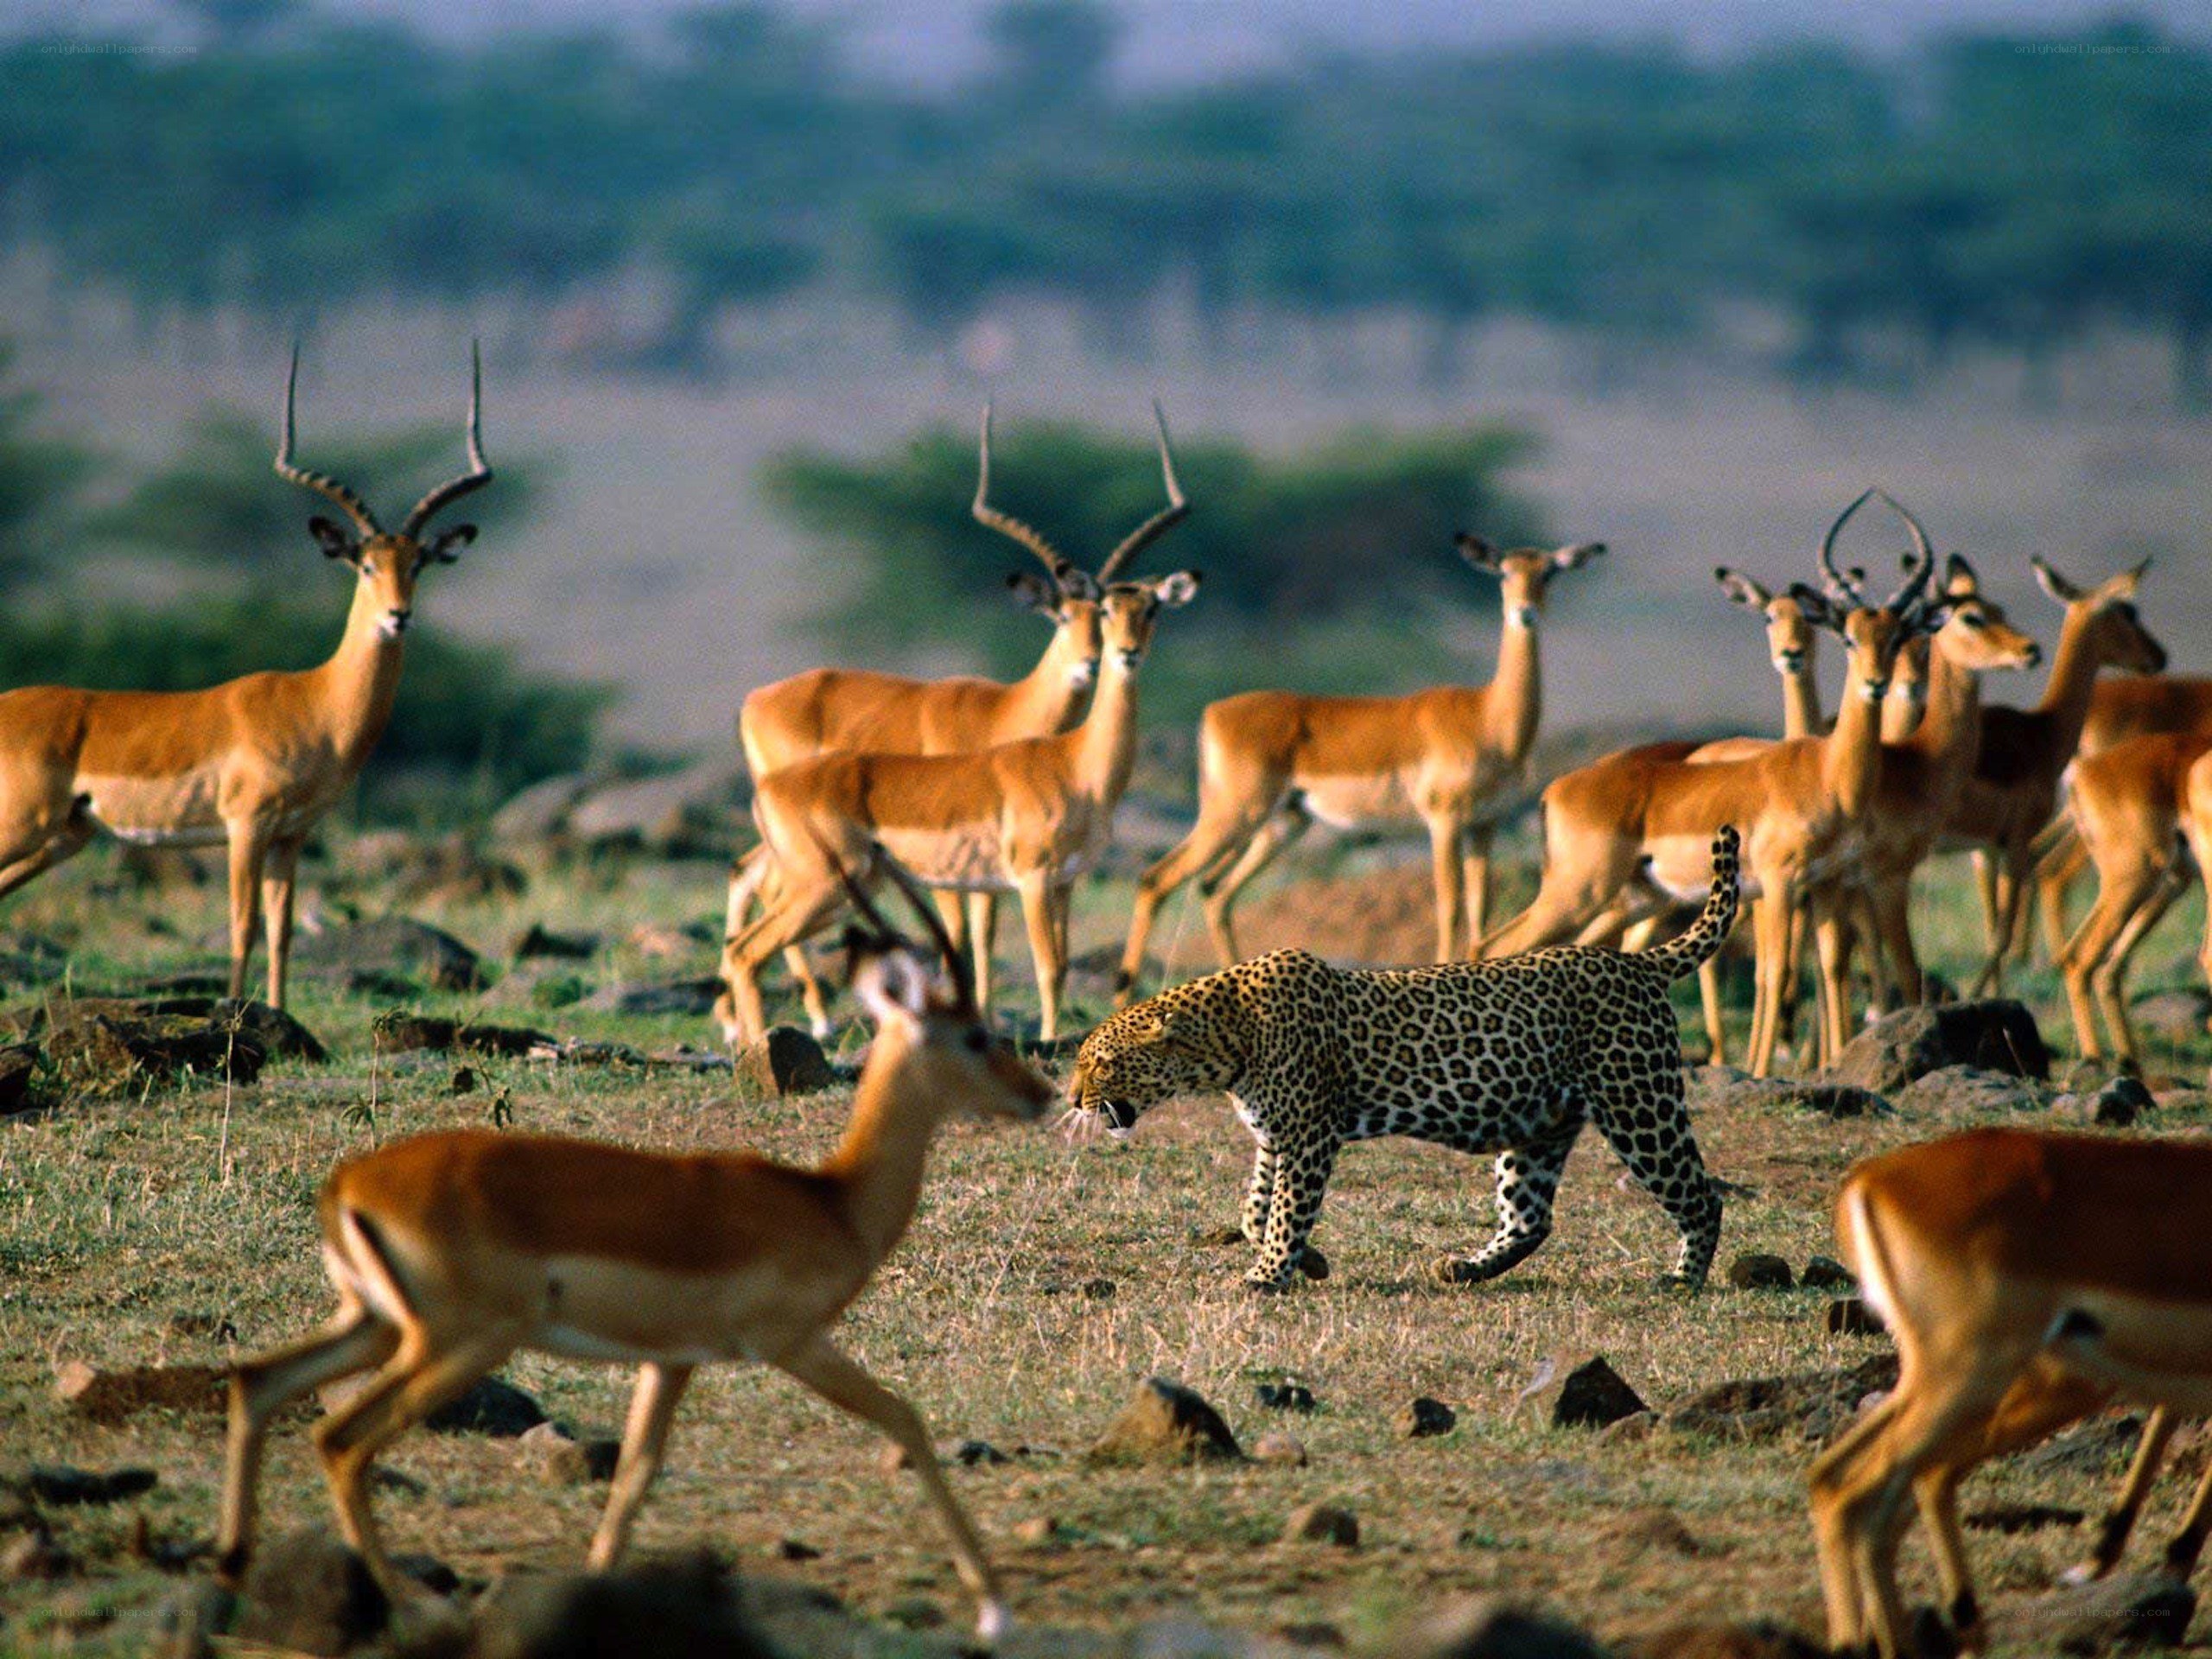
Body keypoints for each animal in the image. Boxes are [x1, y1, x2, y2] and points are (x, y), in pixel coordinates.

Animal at [1068, 826, 1738, 1292]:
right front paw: (1306, 1261)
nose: (1073, 1099)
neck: (1224, 1042)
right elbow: (1257, 1209)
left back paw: (1683, 1281)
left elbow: (1285, 1209)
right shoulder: (1273, 1137)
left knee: (1700, 1196)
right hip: (1539, 1124)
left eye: (1101, 1063)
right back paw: (1463, 1269)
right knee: (1531, 1217)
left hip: (1639, 1107)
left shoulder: (1309, 1135)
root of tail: (1638, 962)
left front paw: (1268, 1276)